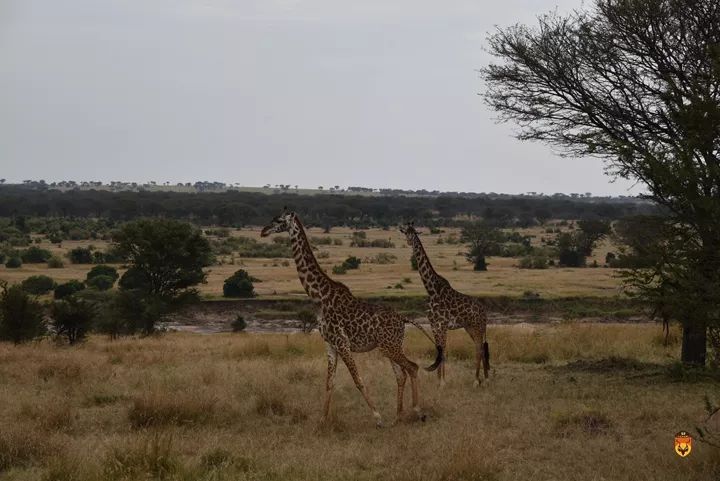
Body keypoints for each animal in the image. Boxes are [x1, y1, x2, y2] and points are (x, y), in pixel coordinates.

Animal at [258, 208, 438, 426]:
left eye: (278, 220)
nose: (263, 231)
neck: (319, 297)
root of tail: (404, 320)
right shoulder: (330, 344)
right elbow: (329, 382)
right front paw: (322, 421)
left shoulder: (342, 343)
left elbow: (358, 380)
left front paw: (377, 418)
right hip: (390, 346)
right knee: (401, 374)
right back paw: (397, 417)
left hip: (390, 346)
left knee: (412, 367)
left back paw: (418, 412)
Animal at [400, 221, 490, 386]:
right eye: (406, 233)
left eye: (414, 233)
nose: (409, 242)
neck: (431, 290)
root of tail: (484, 311)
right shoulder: (434, 324)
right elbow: (439, 350)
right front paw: (438, 381)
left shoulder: (442, 325)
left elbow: (443, 351)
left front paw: (442, 382)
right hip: (470, 327)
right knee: (479, 348)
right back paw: (484, 379)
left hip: (478, 327)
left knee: (479, 349)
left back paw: (477, 381)